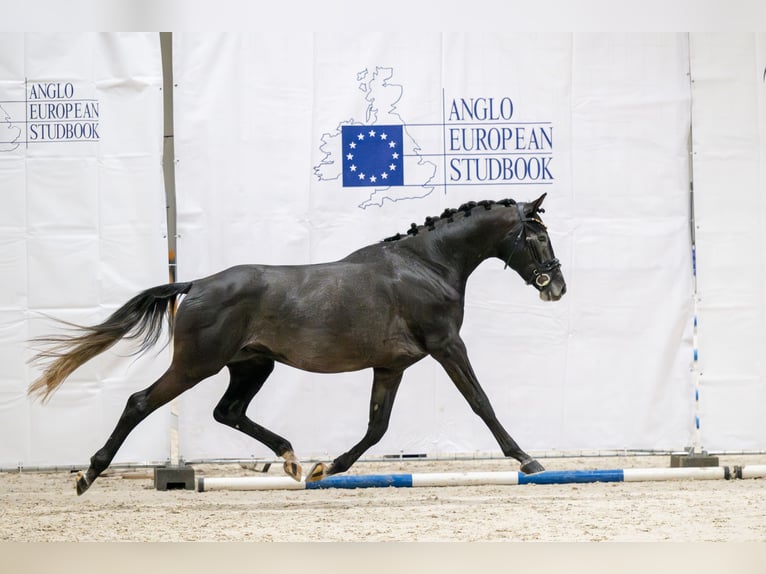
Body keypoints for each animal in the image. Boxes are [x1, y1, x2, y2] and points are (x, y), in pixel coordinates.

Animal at [28, 194, 564, 496]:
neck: (426, 265)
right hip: (197, 365)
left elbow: (377, 428)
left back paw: (290, 459)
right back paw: (87, 475)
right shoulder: (447, 345)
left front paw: (327, 469)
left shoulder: (391, 367)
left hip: (252, 366)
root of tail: (195, 284)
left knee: (229, 411)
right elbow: (481, 402)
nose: (557, 288)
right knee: (140, 402)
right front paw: (528, 461)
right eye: (537, 236)